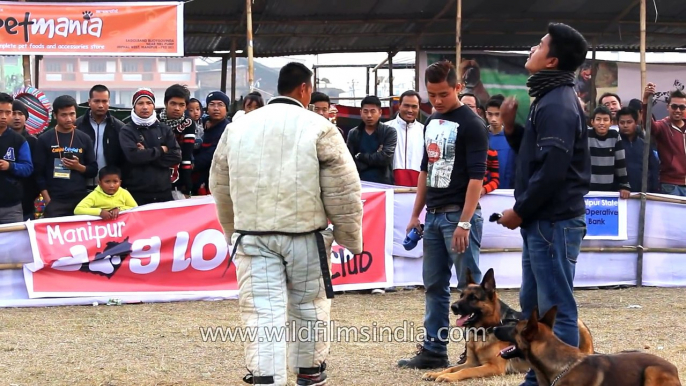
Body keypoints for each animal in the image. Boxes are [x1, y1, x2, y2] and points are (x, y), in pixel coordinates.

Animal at [422, 268, 592, 382]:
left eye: (473, 298)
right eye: (461, 295)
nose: (453, 307)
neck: (484, 330)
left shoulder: (492, 367)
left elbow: (465, 372)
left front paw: (448, 377)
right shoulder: (471, 362)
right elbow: (452, 367)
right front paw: (437, 373)